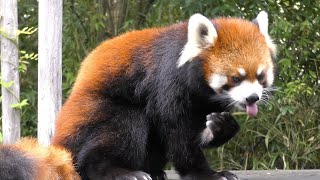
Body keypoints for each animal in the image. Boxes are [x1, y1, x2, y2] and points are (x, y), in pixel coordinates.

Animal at [52, 11, 276, 180]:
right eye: (236, 78)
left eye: (260, 76)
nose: (252, 98)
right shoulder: (167, 81)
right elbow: (177, 132)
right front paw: (205, 173)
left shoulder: (206, 101)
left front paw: (221, 126)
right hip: (97, 110)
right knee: (125, 123)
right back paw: (120, 172)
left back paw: (154, 171)